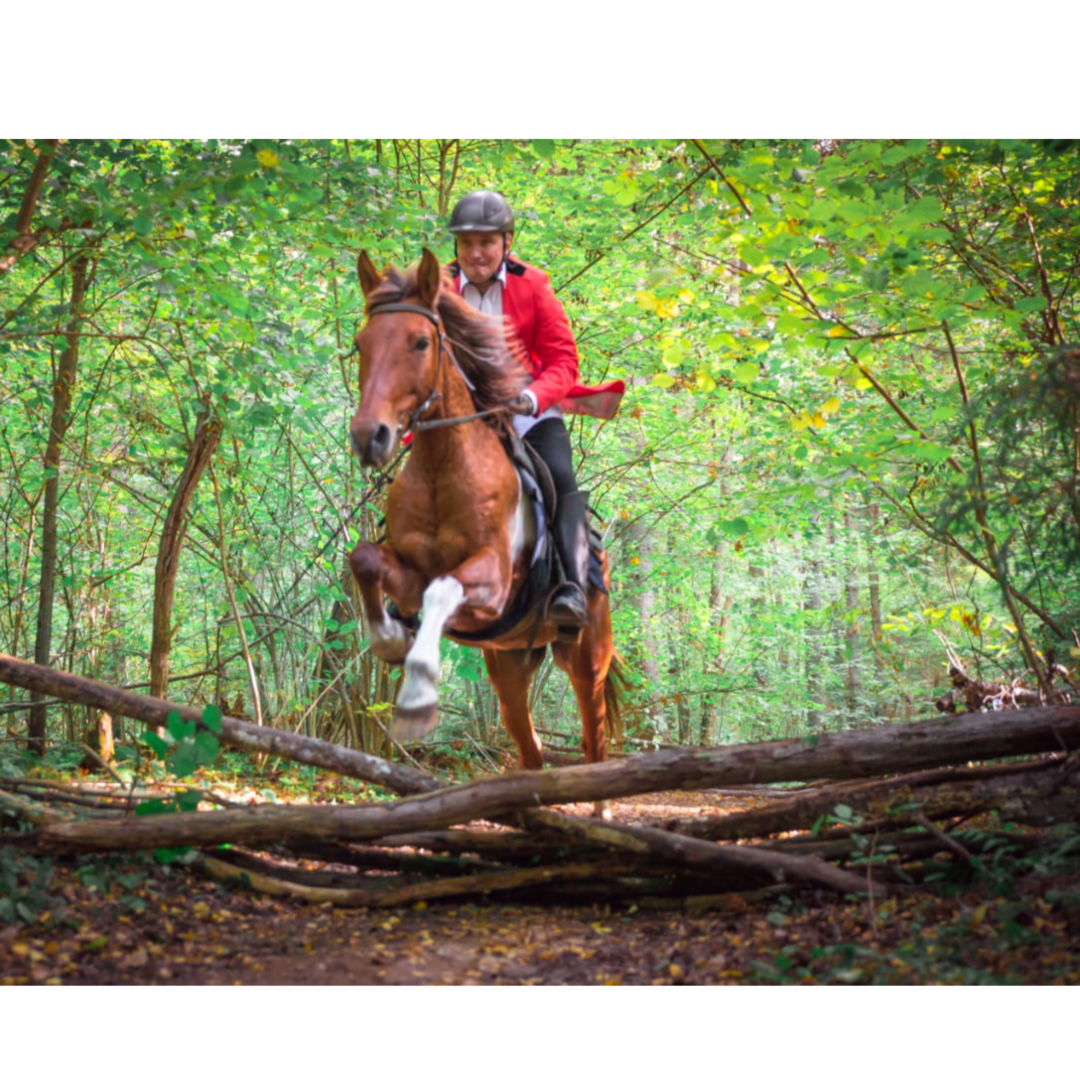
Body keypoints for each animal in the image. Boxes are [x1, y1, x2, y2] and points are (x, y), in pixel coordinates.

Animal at [345, 249, 626, 781]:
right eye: (360, 344)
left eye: (420, 342)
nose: (370, 436)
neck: (443, 466)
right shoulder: (408, 573)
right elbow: (366, 560)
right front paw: (390, 639)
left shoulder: (492, 582)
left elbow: (441, 589)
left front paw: (417, 697)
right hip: (509, 662)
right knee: (530, 747)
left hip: (587, 658)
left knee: (593, 737)